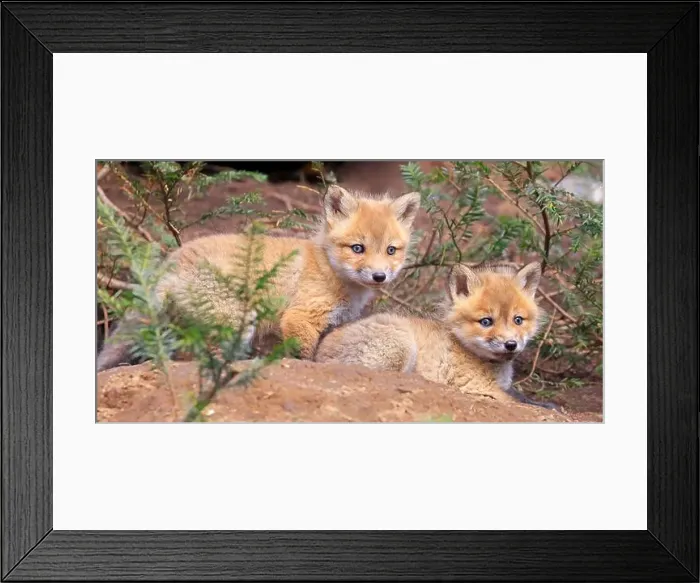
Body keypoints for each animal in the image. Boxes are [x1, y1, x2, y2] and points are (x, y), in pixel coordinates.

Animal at [96, 185, 421, 371]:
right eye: (357, 248)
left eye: (391, 250)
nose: (379, 276)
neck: (328, 268)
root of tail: (173, 261)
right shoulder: (299, 318)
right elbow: (308, 357)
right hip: (237, 323)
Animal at [315, 260, 556, 408]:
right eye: (486, 322)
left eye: (518, 320)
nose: (511, 344)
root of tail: (319, 352)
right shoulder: (477, 387)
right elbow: (516, 401)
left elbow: (525, 398)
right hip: (401, 343)